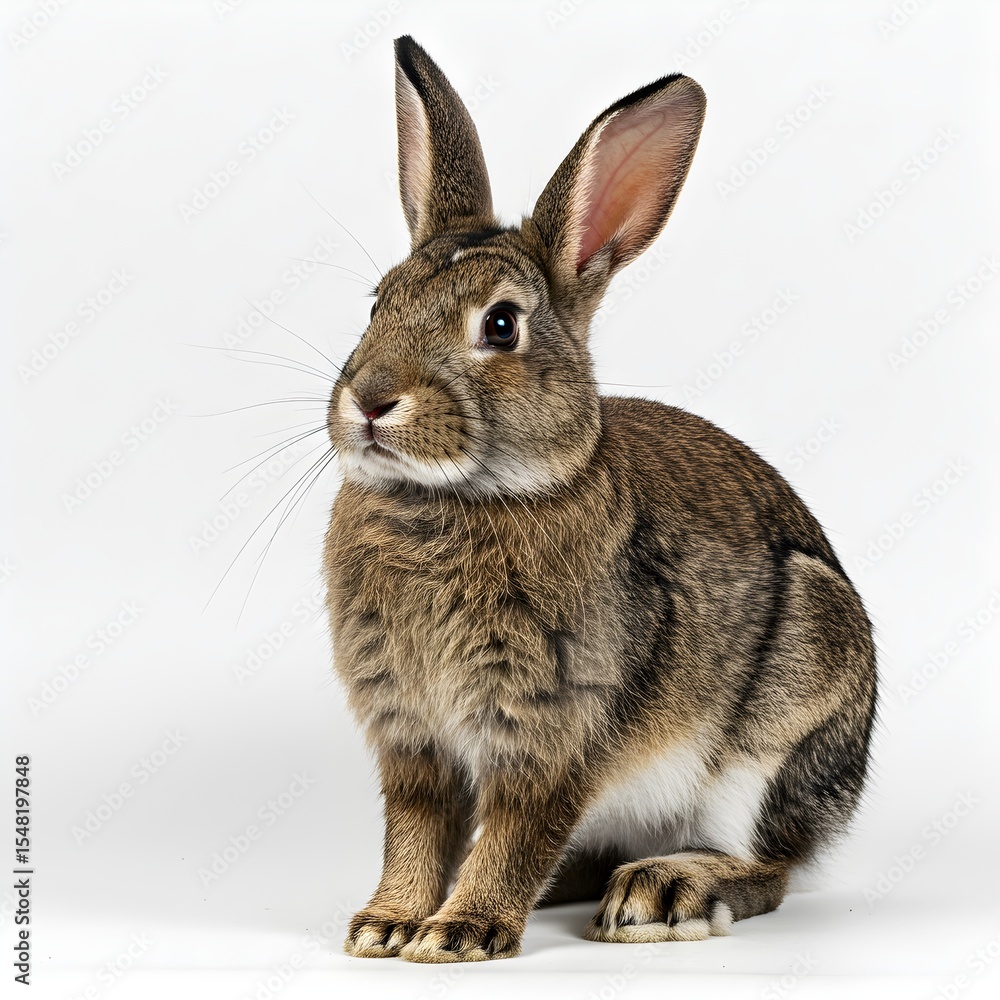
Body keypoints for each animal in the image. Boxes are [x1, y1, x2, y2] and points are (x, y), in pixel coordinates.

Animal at [323, 35, 877, 963]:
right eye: (377, 304)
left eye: (501, 325)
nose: (369, 400)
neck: (461, 495)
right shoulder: (412, 738)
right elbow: (417, 829)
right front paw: (387, 923)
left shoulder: (552, 730)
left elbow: (519, 831)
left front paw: (460, 933)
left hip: (775, 733)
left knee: (767, 868)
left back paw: (662, 893)